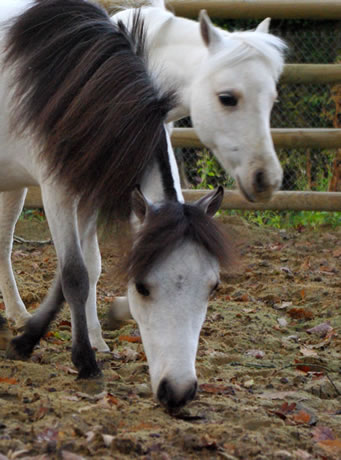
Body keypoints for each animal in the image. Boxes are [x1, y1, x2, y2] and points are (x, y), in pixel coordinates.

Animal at [0, 0, 231, 410]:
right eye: (140, 286)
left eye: (213, 286)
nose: (178, 391)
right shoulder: (57, 189)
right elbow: (75, 274)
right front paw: (85, 361)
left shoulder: (89, 192)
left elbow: (74, 273)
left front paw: (27, 340)